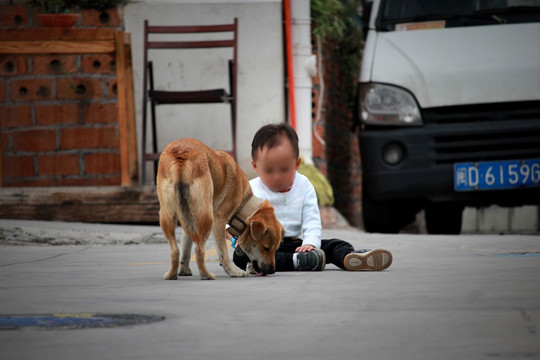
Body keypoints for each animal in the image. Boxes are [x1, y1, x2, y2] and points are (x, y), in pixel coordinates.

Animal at [156, 138, 282, 278]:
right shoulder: (219, 219)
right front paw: (232, 271)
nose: (272, 270)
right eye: (266, 248)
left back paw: (171, 274)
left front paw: (184, 270)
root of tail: (181, 154)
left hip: (167, 214)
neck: (244, 202)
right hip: (207, 217)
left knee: (175, 250)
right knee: (199, 250)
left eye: (276, 249)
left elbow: (186, 248)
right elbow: (223, 253)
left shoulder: (189, 219)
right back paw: (207, 275)